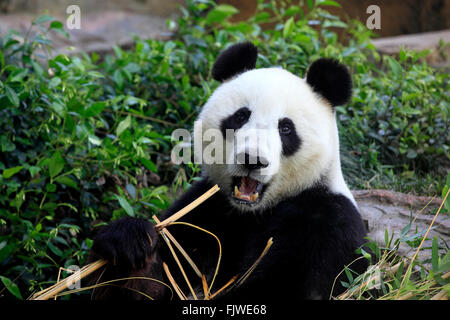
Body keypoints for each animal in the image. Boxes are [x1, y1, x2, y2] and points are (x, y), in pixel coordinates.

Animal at [90, 42, 370, 300]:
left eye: (286, 128)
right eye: (240, 116)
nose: (253, 159)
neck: (250, 213)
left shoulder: (326, 221)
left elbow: (287, 287)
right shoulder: (205, 210)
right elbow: (157, 280)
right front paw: (131, 241)